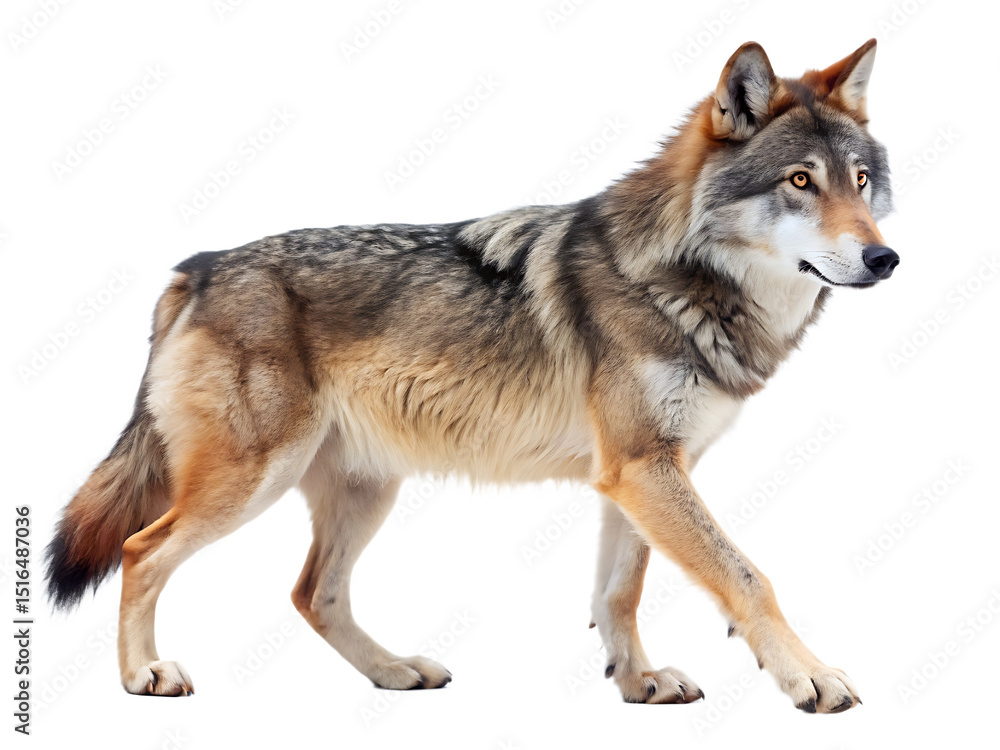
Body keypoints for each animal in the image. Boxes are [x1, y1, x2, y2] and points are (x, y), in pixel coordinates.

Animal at [46, 39, 896, 713]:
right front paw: (811, 678)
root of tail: (196, 268)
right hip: (251, 481)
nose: (885, 258)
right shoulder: (645, 470)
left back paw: (394, 671)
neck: (676, 278)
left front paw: (638, 683)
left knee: (311, 594)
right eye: (799, 182)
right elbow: (746, 577)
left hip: (364, 490)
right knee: (141, 551)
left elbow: (619, 592)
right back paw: (144, 675)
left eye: (860, 180)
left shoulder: (638, 472)